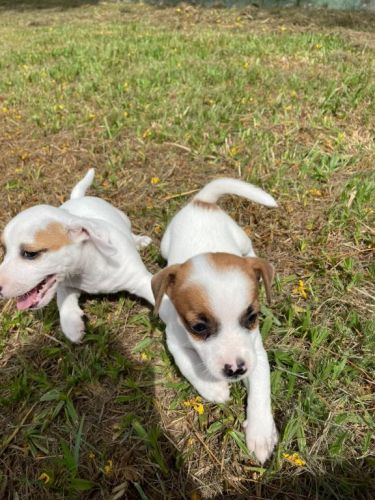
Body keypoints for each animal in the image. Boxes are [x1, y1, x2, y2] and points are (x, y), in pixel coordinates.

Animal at [0, 170, 154, 342]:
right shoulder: (64, 284)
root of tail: (77, 198)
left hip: (124, 218)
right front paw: (72, 326)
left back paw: (140, 241)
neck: (90, 265)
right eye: (4, 250)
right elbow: (63, 302)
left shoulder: (142, 281)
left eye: (30, 254)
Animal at [153, 178, 280, 462]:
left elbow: (261, 390)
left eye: (252, 317)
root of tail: (201, 202)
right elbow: (188, 363)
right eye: (198, 328)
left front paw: (260, 433)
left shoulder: (256, 352)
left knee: (248, 250)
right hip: (166, 244)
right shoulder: (174, 340)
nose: (235, 370)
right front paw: (212, 388)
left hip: (239, 236)